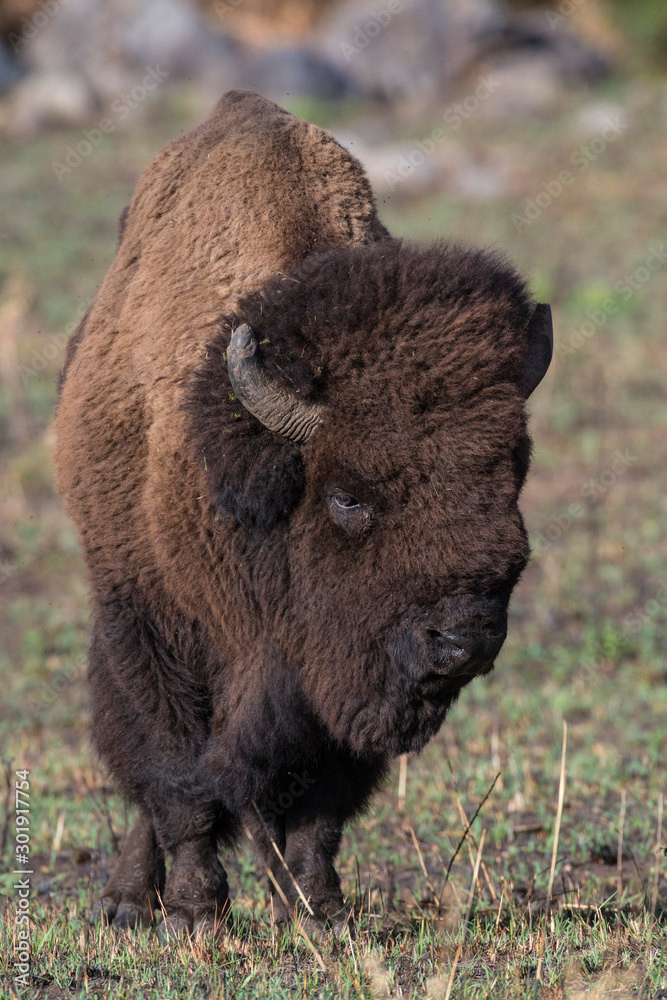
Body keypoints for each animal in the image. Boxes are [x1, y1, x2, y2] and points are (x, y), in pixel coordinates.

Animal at [55, 90, 552, 939]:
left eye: (508, 472)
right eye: (347, 496)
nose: (461, 640)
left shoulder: (333, 683)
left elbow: (320, 808)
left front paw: (322, 913)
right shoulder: (155, 627)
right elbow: (179, 777)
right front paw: (195, 912)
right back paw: (128, 902)